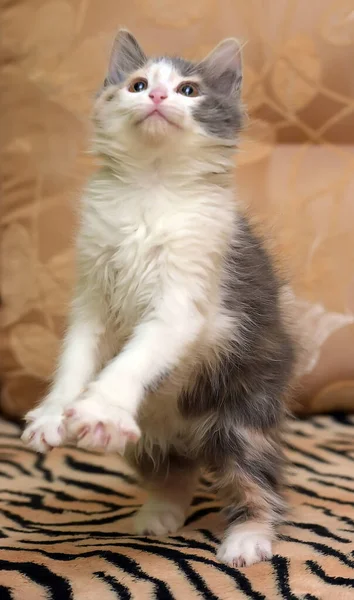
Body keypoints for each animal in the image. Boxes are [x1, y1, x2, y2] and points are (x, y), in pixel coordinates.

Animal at [20, 30, 294, 568]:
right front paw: (54, 414)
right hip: (150, 437)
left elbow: (134, 358)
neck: (151, 186)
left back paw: (248, 537)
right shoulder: (91, 295)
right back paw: (159, 515)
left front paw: (101, 409)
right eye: (138, 84)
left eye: (189, 90)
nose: (159, 96)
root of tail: (193, 434)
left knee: (254, 477)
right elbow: (76, 357)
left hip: (244, 410)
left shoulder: (184, 296)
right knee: (173, 472)